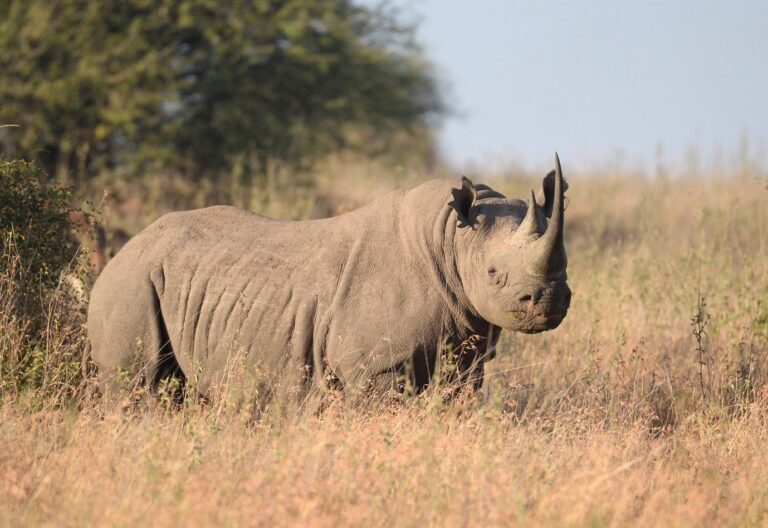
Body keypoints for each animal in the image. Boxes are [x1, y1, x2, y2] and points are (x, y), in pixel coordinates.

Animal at [87, 154, 571, 405]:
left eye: (566, 266)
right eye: (493, 274)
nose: (548, 301)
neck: (451, 238)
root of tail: (123, 250)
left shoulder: (468, 352)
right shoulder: (375, 364)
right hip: (131, 283)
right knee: (139, 382)